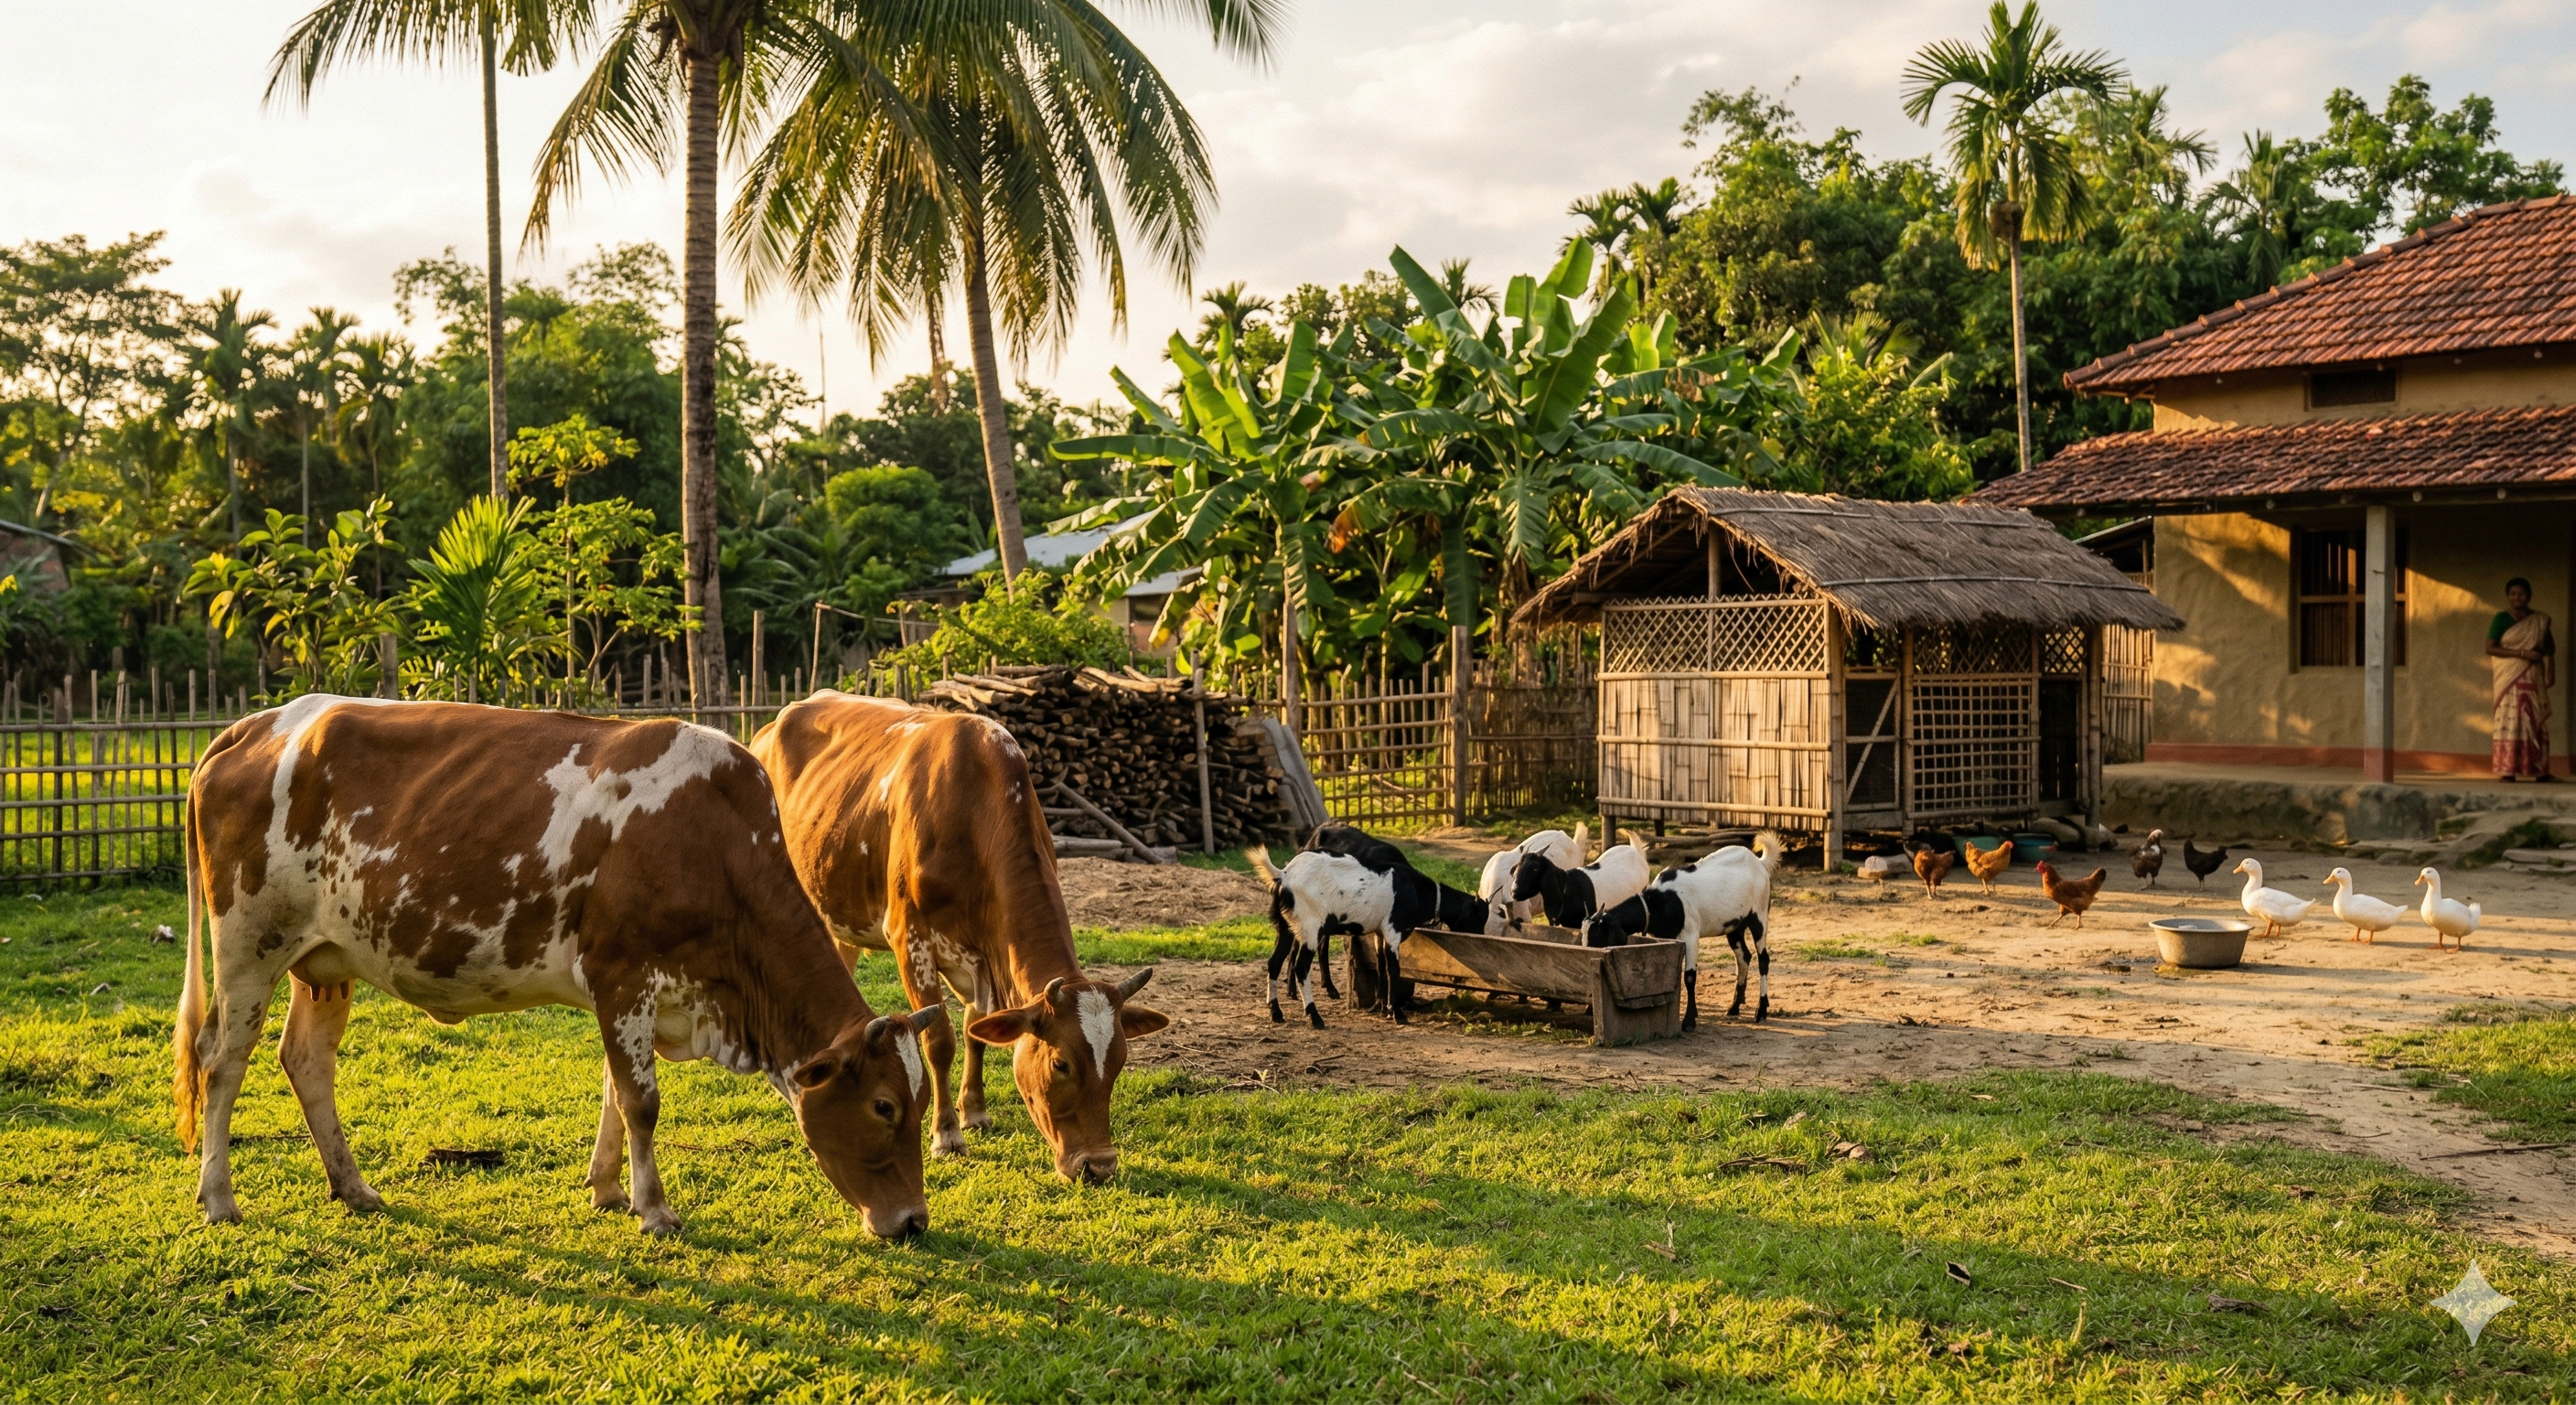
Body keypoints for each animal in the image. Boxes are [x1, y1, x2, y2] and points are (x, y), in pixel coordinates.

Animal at [173, 696, 941, 1238]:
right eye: (884, 1105)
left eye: (922, 1102)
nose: (912, 1221)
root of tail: (255, 725)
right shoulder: (622, 974)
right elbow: (642, 1101)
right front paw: (655, 1210)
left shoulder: (629, 993)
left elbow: (614, 1093)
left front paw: (608, 1190)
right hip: (248, 942)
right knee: (221, 1060)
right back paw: (218, 1197)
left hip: (324, 959)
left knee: (306, 1060)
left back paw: (353, 1187)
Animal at [750, 692, 1169, 1184]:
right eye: (1061, 1063)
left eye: (1119, 1060)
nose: (1099, 1166)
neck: (973, 810)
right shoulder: (910, 940)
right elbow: (940, 1041)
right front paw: (947, 1134)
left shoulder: (983, 955)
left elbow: (975, 1031)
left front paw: (975, 1113)